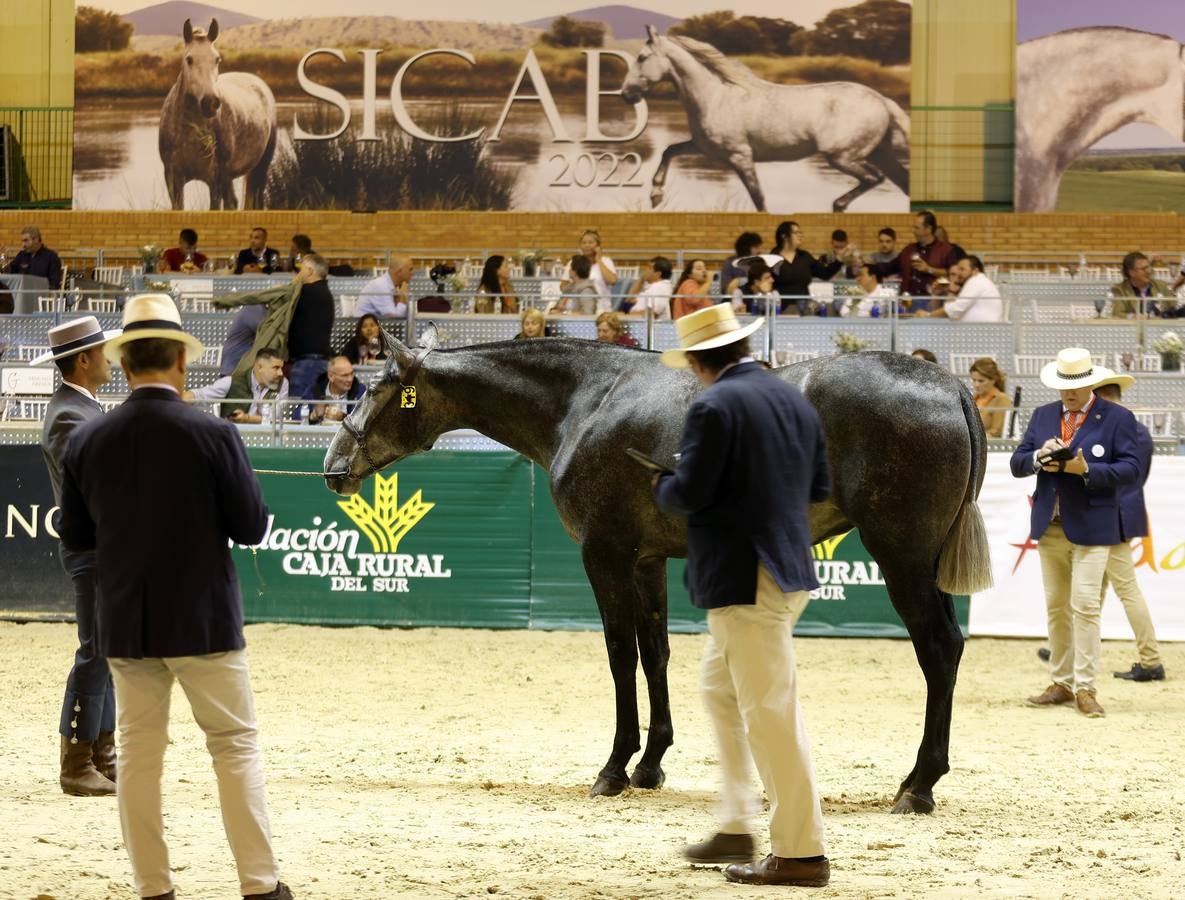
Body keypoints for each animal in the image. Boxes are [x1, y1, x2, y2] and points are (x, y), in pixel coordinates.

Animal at [159, 19, 277, 210]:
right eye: (189, 59)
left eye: (217, 59)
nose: (210, 103)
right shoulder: (173, 178)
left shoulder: (214, 182)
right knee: (234, 202)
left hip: (260, 167)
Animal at [324, 330, 991, 815]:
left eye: (377, 389)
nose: (333, 466)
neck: (587, 402)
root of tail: (948, 385)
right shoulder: (646, 561)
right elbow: (655, 654)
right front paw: (650, 765)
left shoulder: (605, 554)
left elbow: (621, 654)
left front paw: (614, 768)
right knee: (952, 649)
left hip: (902, 558)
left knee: (937, 650)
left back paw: (918, 785)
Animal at [620, 25, 910, 212]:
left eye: (642, 57)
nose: (626, 94)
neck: (716, 96)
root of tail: (882, 100)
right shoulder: (703, 147)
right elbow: (669, 150)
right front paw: (655, 196)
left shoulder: (740, 156)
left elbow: (759, 200)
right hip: (877, 153)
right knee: (901, 182)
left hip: (842, 156)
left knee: (874, 179)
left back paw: (838, 206)